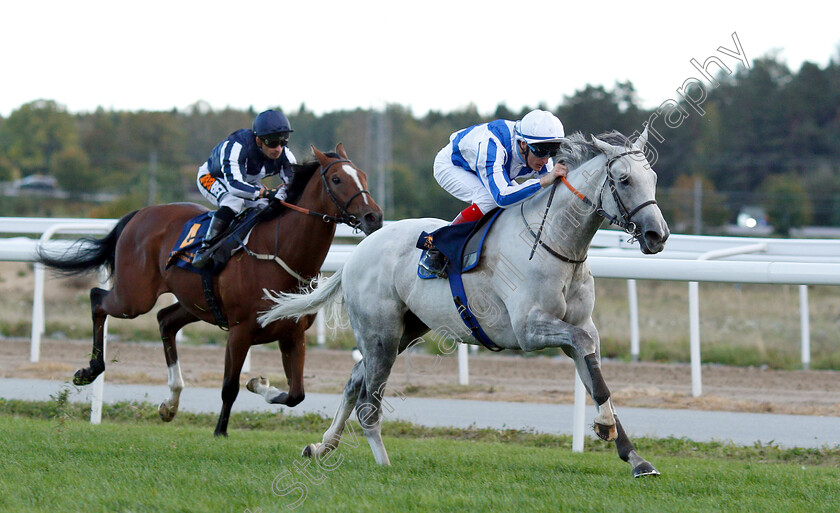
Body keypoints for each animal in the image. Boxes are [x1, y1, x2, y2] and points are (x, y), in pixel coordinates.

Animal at [36, 144, 384, 436]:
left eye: (365, 176)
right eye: (337, 179)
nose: (374, 216)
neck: (280, 252)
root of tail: (139, 213)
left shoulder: (292, 334)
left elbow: (296, 394)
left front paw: (259, 384)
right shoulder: (240, 331)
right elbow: (229, 386)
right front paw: (220, 431)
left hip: (194, 302)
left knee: (165, 320)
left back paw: (170, 403)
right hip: (134, 297)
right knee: (98, 299)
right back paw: (90, 369)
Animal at [260, 129, 668, 476]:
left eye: (652, 178)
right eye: (624, 179)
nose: (657, 235)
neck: (553, 242)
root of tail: (355, 255)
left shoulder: (581, 327)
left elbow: (596, 379)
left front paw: (634, 457)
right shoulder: (529, 329)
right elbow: (585, 356)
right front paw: (604, 425)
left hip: (404, 331)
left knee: (353, 381)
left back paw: (322, 445)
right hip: (381, 335)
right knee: (367, 404)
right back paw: (383, 464)